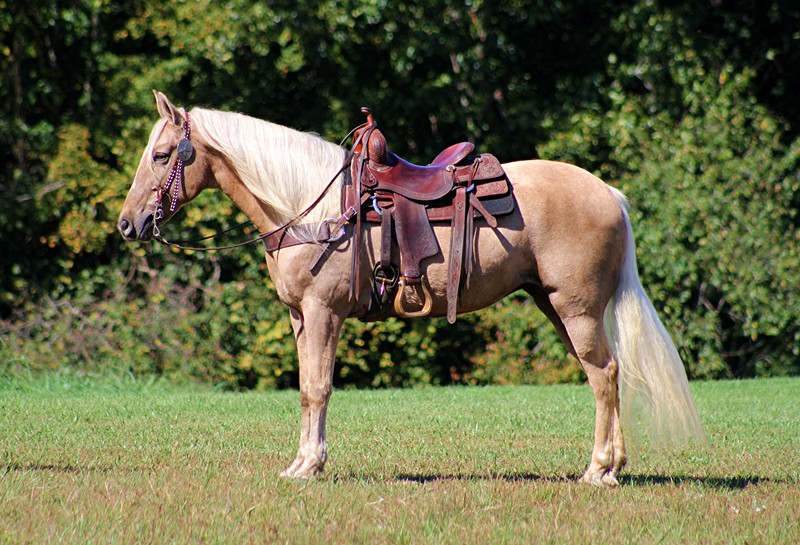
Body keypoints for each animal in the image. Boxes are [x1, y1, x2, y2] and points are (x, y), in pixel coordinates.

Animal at [118, 91, 704, 487]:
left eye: (163, 154)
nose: (128, 224)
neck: (311, 207)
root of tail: (609, 193)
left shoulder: (324, 312)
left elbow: (318, 388)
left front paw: (310, 467)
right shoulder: (300, 317)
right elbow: (307, 390)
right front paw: (301, 462)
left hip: (575, 309)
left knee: (603, 376)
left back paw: (597, 470)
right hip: (558, 307)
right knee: (609, 373)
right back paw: (614, 466)